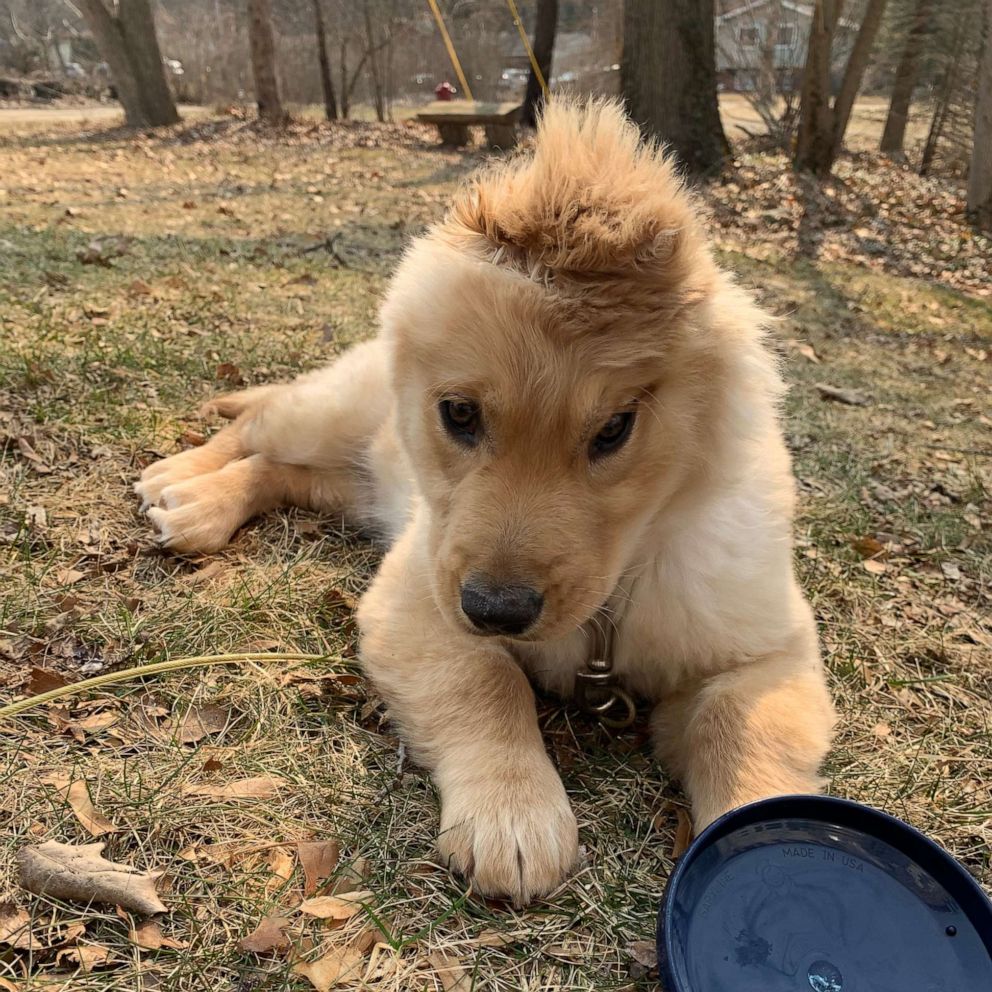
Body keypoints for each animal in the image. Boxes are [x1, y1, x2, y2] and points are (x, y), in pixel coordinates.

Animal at [138, 101, 836, 908]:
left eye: (614, 428)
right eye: (460, 414)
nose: (496, 611)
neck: (617, 589)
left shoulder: (769, 651)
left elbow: (744, 732)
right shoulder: (418, 596)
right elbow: (486, 680)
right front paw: (515, 815)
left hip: (359, 485)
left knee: (280, 471)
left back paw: (201, 503)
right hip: (331, 415)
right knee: (255, 425)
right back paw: (181, 483)